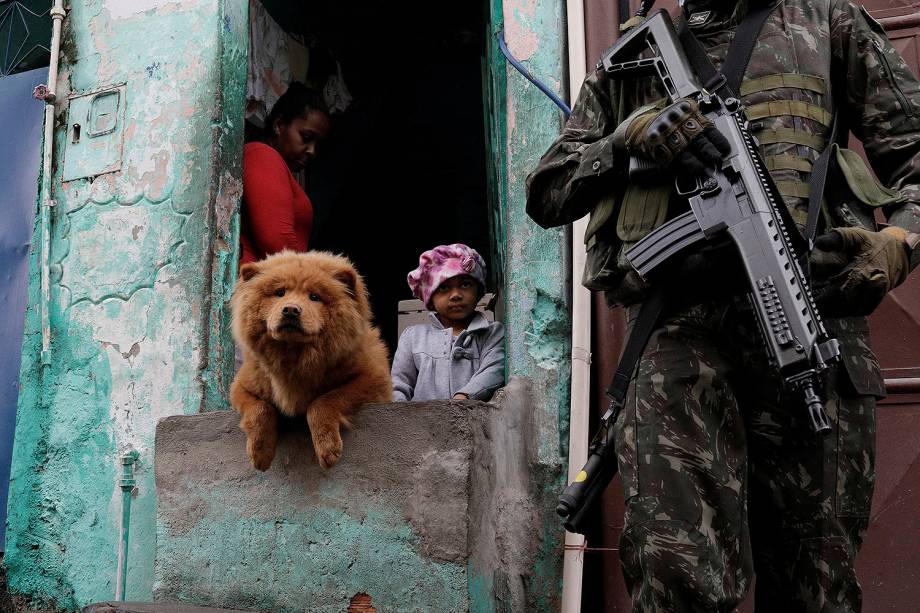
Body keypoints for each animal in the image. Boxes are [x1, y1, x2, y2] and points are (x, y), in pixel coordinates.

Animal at [232, 251, 390, 470]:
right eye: (280, 293)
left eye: (314, 297)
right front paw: (260, 453)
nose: (291, 309)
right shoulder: (241, 386)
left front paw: (328, 449)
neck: (294, 356)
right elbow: (259, 409)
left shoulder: (372, 378)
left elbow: (324, 401)